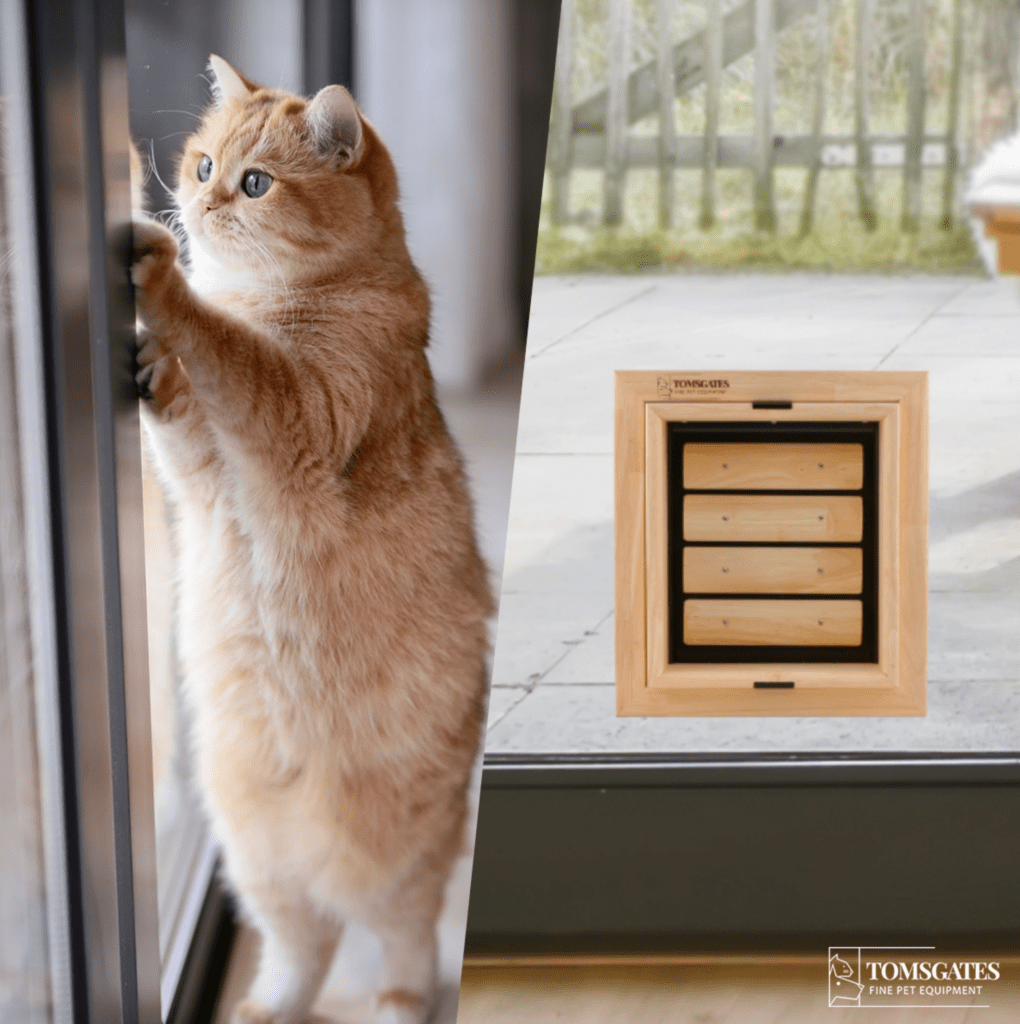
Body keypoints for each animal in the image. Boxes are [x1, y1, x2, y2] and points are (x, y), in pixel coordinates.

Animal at [132, 58, 493, 1024]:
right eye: (203, 163)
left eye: (254, 183)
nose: (200, 202)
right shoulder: (203, 479)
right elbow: (183, 418)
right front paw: (155, 367)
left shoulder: (294, 417)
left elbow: (230, 349)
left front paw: (163, 285)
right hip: (256, 862)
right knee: (305, 945)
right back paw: (267, 1006)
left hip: (397, 864)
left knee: (401, 940)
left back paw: (399, 1003)